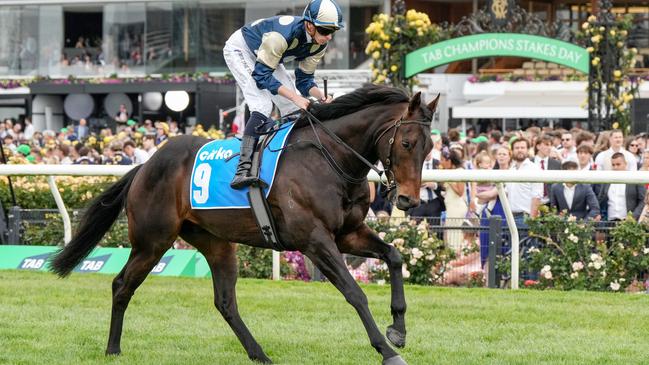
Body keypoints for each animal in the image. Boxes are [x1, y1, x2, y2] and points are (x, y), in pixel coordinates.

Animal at [48, 86, 438, 364]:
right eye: (406, 143)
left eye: (430, 148)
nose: (408, 200)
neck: (331, 159)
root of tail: (145, 166)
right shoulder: (314, 239)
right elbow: (355, 292)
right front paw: (387, 351)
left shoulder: (347, 234)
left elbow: (394, 256)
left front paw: (398, 330)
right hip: (152, 241)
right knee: (121, 285)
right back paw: (112, 349)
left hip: (216, 242)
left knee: (225, 302)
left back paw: (259, 353)